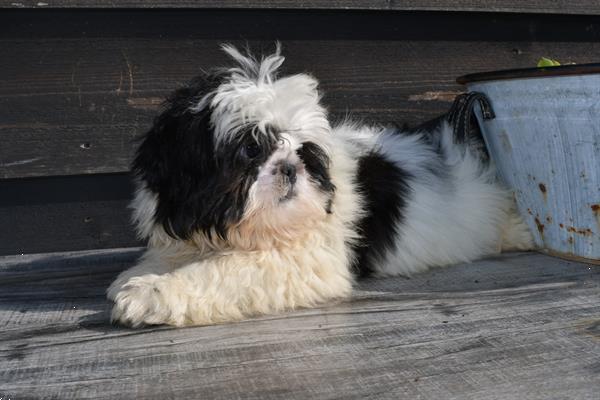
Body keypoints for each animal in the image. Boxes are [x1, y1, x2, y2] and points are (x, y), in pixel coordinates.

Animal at [108, 43, 536, 326]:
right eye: (252, 148)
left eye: (303, 151)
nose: (289, 168)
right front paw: (139, 274)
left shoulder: (302, 259)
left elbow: (223, 271)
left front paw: (151, 294)